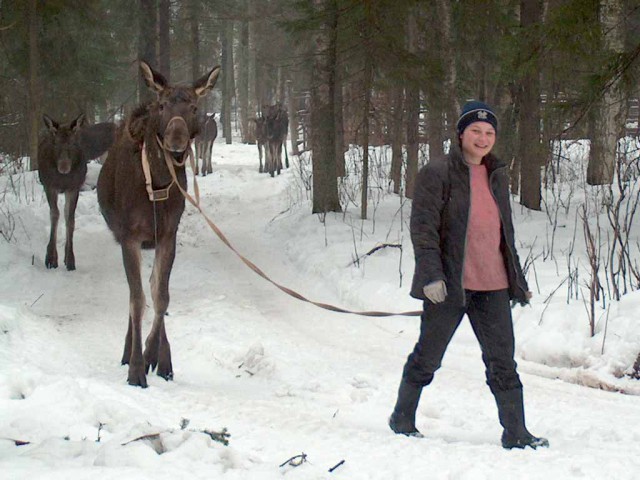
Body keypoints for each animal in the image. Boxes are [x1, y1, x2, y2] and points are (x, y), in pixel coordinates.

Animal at [38, 113, 115, 270]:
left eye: (73, 144)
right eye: (56, 144)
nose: (64, 167)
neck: (63, 179)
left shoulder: (73, 188)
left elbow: (70, 219)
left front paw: (70, 259)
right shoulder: (49, 186)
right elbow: (54, 215)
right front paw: (50, 258)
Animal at [97, 61, 220, 387]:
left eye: (193, 106)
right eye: (162, 105)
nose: (176, 141)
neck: (157, 187)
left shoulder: (167, 234)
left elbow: (161, 296)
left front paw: (155, 356)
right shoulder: (129, 237)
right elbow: (138, 300)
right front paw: (136, 369)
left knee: (151, 287)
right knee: (134, 295)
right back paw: (128, 352)